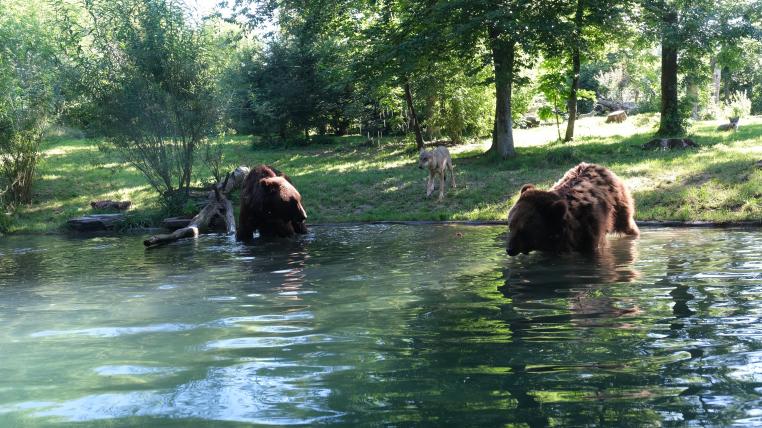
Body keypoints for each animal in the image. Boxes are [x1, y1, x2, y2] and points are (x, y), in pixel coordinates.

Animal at [506, 162, 639, 256]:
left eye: (523, 230)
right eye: (511, 225)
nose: (509, 249)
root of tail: (598, 166)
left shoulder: (588, 231)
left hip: (617, 204)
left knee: (625, 223)